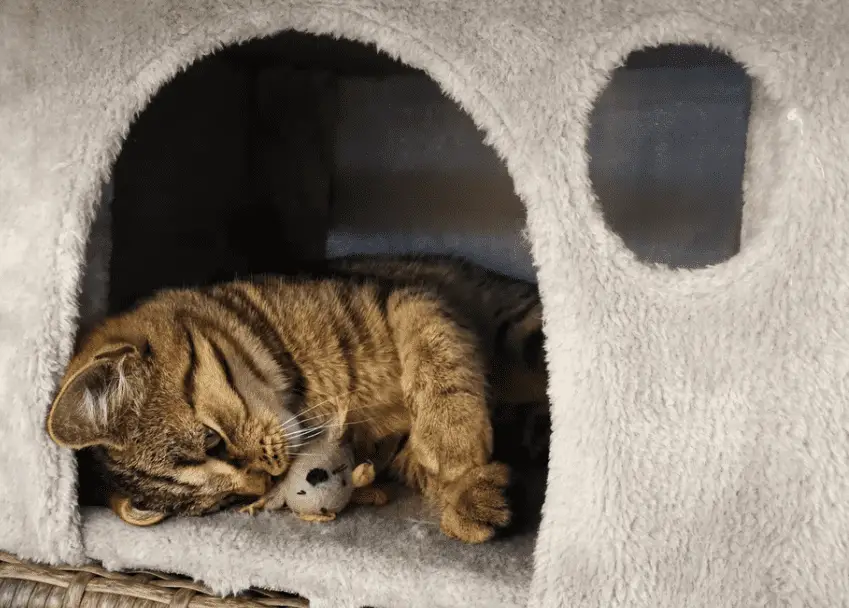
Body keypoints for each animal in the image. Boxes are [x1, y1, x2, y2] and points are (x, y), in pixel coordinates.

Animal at [46, 254, 548, 544]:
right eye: (220, 504)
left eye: (212, 441)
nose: (262, 484)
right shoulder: (388, 448)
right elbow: (422, 466)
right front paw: (470, 495)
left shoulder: (406, 294)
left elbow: (432, 345)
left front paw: (452, 440)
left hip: (523, 326)